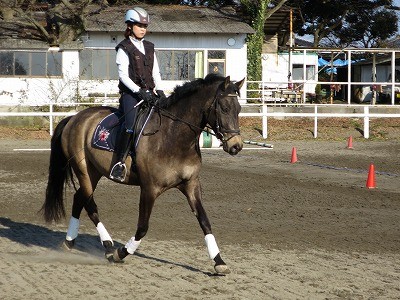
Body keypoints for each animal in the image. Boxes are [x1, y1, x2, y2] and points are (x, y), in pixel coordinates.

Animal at [42, 72, 245, 274]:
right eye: (225, 108)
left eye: (239, 109)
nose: (236, 146)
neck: (174, 136)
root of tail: (74, 117)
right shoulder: (149, 189)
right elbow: (142, 227)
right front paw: (121, 253)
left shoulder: (191, 184)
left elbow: (204, 221)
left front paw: (219, 261)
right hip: (83, 170)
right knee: (89, 204)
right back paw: (107, 246)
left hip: (95, 172)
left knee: (80, 199)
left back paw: (73, 243)